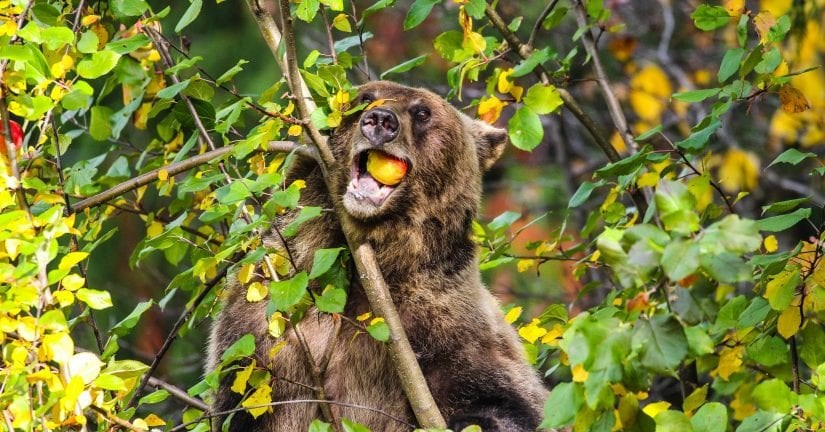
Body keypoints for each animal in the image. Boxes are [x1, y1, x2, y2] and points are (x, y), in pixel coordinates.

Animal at [208, 82, 548, 432]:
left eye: (422, 112)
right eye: (365, 98)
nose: (382, 120)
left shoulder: (450, 328)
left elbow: (500, 399)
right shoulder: (266, 333)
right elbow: (248, 401)